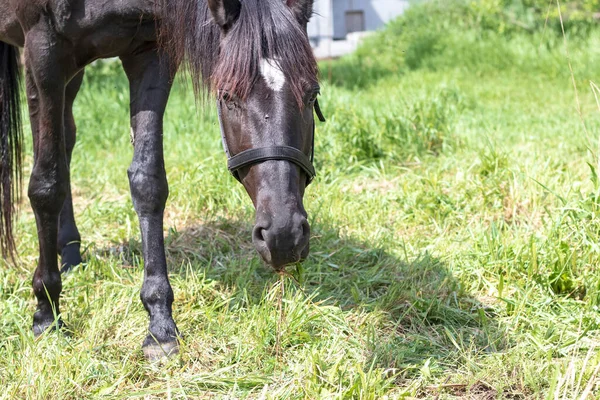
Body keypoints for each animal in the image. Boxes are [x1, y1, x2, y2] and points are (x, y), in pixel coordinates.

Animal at [0, 0, 324, 360]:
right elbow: (47, 184)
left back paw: (70, 251)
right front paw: (46, 312)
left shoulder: (151, 54)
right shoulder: (44, 53)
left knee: (66, 137)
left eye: (312, 94)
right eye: (227, 96)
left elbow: (148, 181)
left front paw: (159, 324)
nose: (284, 235)